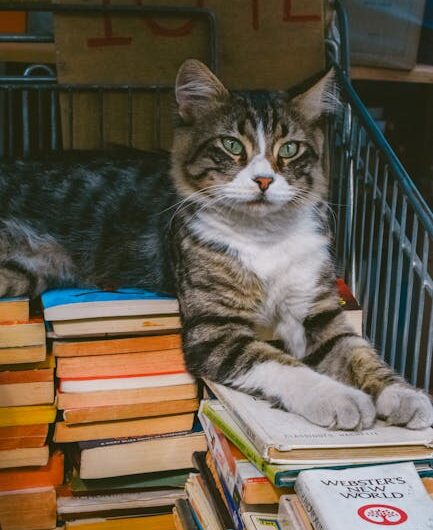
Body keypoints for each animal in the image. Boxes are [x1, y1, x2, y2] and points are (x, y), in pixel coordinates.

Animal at [0, 59, 432, 428]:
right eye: (232, 145)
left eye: (289, 149)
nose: (263, 180)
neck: (263, 237)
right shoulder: (214, 330)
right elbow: (281, 363)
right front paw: (339, 398)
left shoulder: (318, 310)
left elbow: (359, 351)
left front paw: (404, 394)